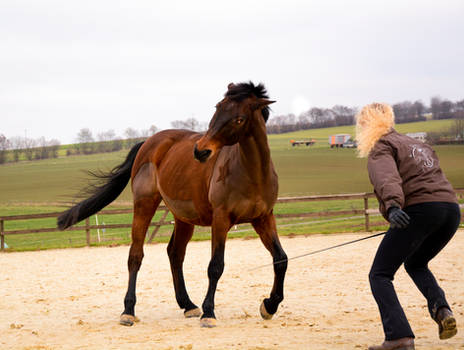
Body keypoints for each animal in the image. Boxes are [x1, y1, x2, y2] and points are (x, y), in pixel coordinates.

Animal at [57, 82, 288, 328]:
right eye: (218, 107)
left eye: (239, 119)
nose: (201, 150)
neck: (252, 174)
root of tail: (149, 142)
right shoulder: (221, 220)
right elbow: (216, 266)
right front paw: (209, 313)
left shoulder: (263, 218)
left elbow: (280, 259)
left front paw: (269, 305)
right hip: (144, 206)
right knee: (135, 256)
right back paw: (128, 310)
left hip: (184, 218)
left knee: (175, 254)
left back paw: (188, 304)